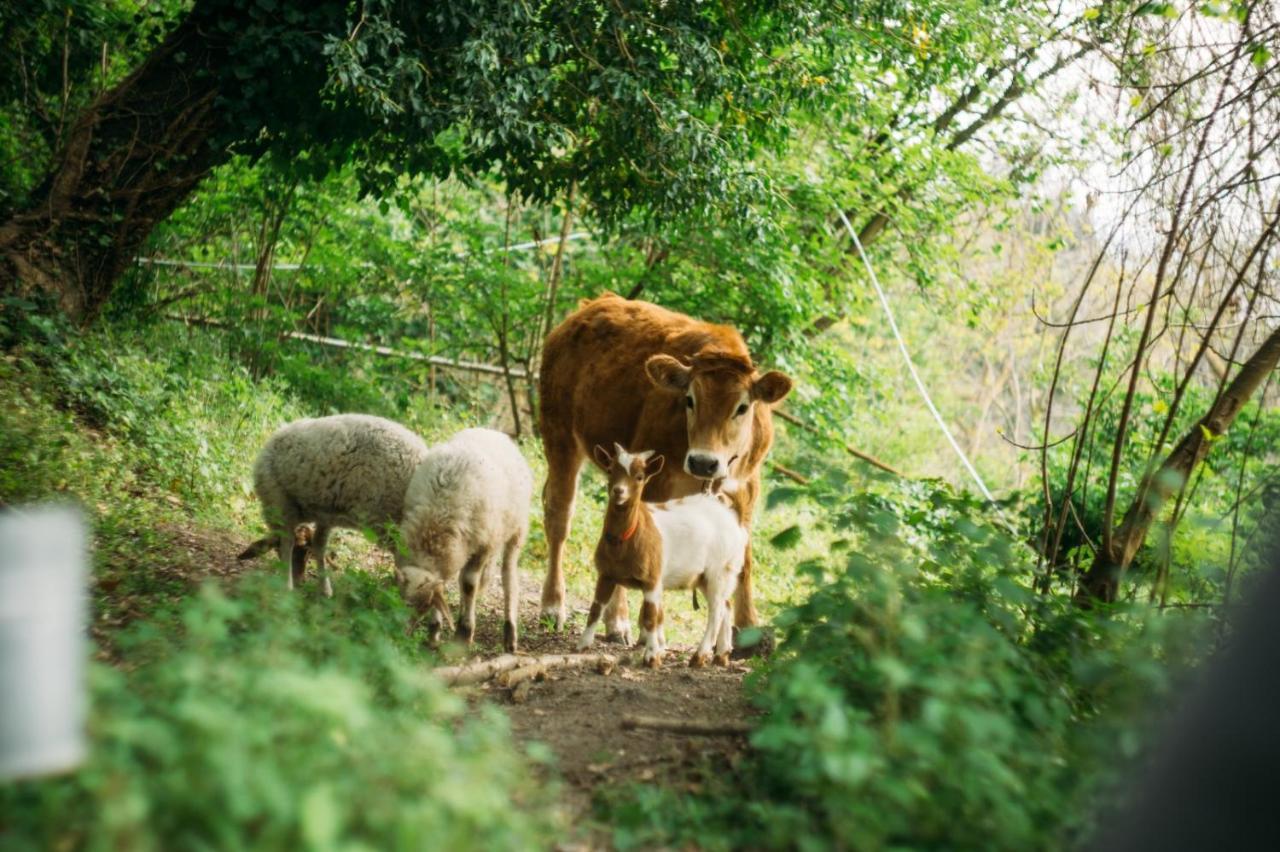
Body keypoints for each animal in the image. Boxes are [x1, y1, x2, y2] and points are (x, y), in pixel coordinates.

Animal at [391, 424, 527, 649]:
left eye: (423, 605)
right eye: (397, 598)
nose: (400, 635)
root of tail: (493, 432)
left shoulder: (483, 546)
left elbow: (469, 584)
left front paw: (464, 633)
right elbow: (446, 587)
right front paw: (435, 631)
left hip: (515, 530)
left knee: (508, 577)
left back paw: (510, 633)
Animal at [532, 290, 788, 629]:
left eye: (742, 407)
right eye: (689, 400)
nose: (703, 462)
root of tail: (592, 305)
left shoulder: (745, 491)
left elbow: (743, 559)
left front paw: (748, 627)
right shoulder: (654, 481)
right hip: (559, 433)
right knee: (560, 517)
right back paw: (561, 606)